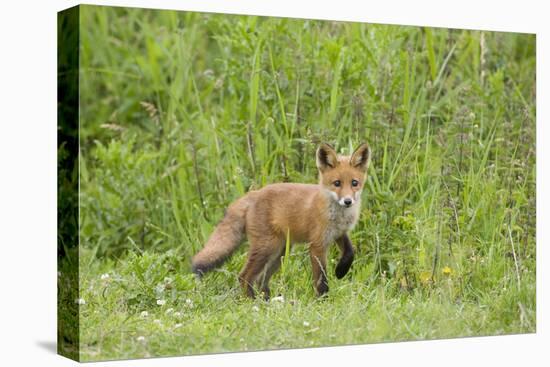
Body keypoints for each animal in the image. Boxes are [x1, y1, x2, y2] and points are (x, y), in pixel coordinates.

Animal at [192, 142, 374, 300]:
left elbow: (350, 252)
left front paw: (341, 271)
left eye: (354, 183)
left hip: (279, 253)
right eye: (337, 183)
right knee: (244, 277)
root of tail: (254, 194)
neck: (337, 216)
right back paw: (252, 302)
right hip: (267, 248)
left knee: (261, 280)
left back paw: (267, 302)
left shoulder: (339, 234)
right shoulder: (317, 244)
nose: (348, 201)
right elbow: (321, 279)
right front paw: (323, 300)